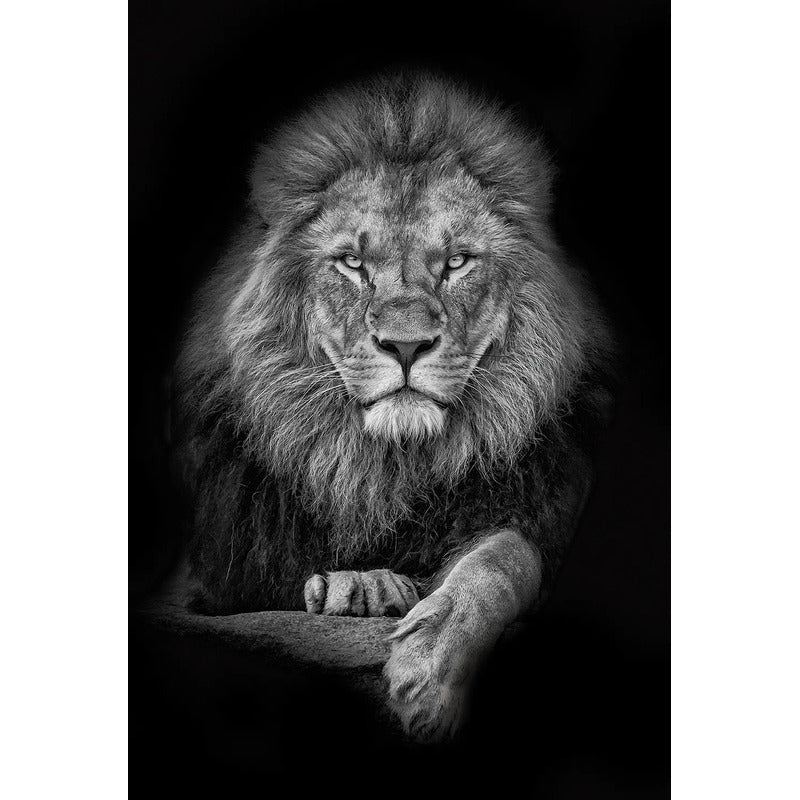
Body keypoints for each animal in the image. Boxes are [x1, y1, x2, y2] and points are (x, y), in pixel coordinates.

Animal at [173, 71, 615, 742]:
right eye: (353, 263)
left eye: (456, 261)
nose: (406, 346)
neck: (385, 467)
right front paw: (361, 585)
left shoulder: (536, 513)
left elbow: (502, 559)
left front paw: (429, 672)